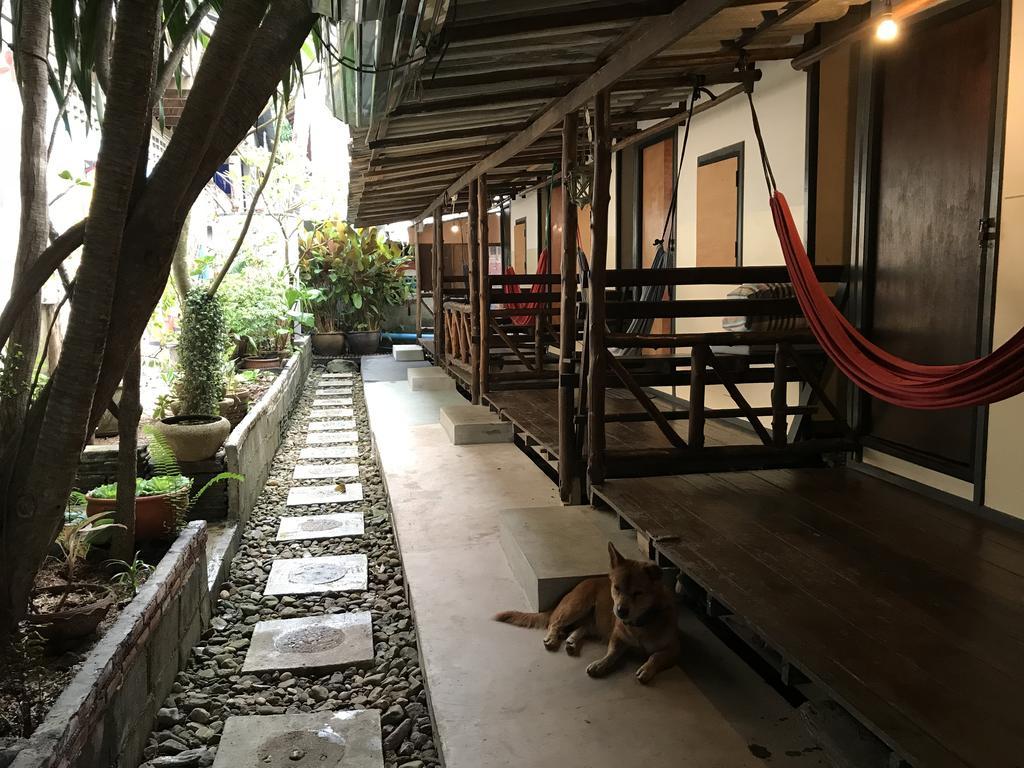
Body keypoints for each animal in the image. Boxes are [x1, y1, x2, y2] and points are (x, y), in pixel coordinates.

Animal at [495, 540, 679, 684]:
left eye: (638, 593)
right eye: (616, 588)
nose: (620, 611)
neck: (640, 623)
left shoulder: (673, 651)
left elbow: (656, 656)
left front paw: (646, 669)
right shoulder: (617, 637)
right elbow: (612, 653)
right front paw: (600, 664)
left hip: (592, 620)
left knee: (581, 627)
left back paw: (571, 640)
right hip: (576, 607)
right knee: (555, 623)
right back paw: (553, 637)